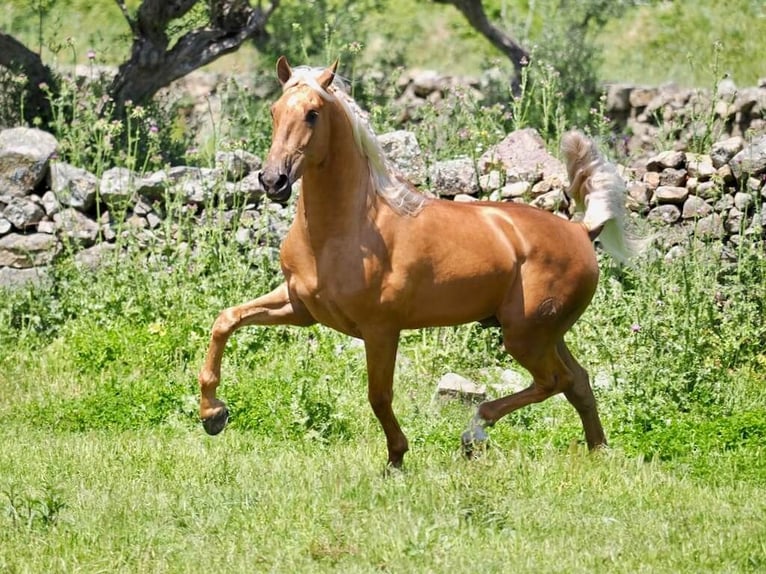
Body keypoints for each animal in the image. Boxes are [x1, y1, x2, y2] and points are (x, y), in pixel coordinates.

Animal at [197, 57, 642, 468]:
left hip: (525, 335)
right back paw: (598, 451)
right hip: (547, 333)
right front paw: (212, 413)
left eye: (312, 113)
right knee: (578, 382)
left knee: (553, 380)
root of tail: (582, 231)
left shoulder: (380, 329)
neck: (347, 228)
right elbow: (226, 320)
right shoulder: (300, 307)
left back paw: (474, 433)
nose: (273, 181)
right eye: (275, 110)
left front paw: (396, 458)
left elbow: (378, 396)